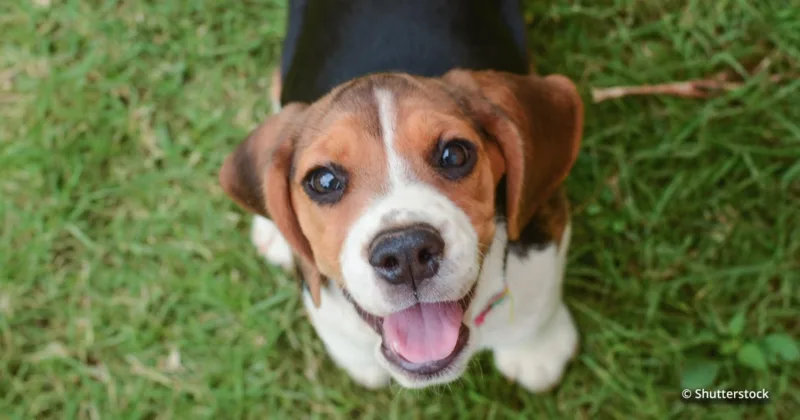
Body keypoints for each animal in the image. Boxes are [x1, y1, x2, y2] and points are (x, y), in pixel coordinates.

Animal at [218, 0, 584, 391]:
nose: (406, 252)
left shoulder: (543, 226)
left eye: (454, 155)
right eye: (325, 181)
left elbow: (538, 300)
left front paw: (536, 351)